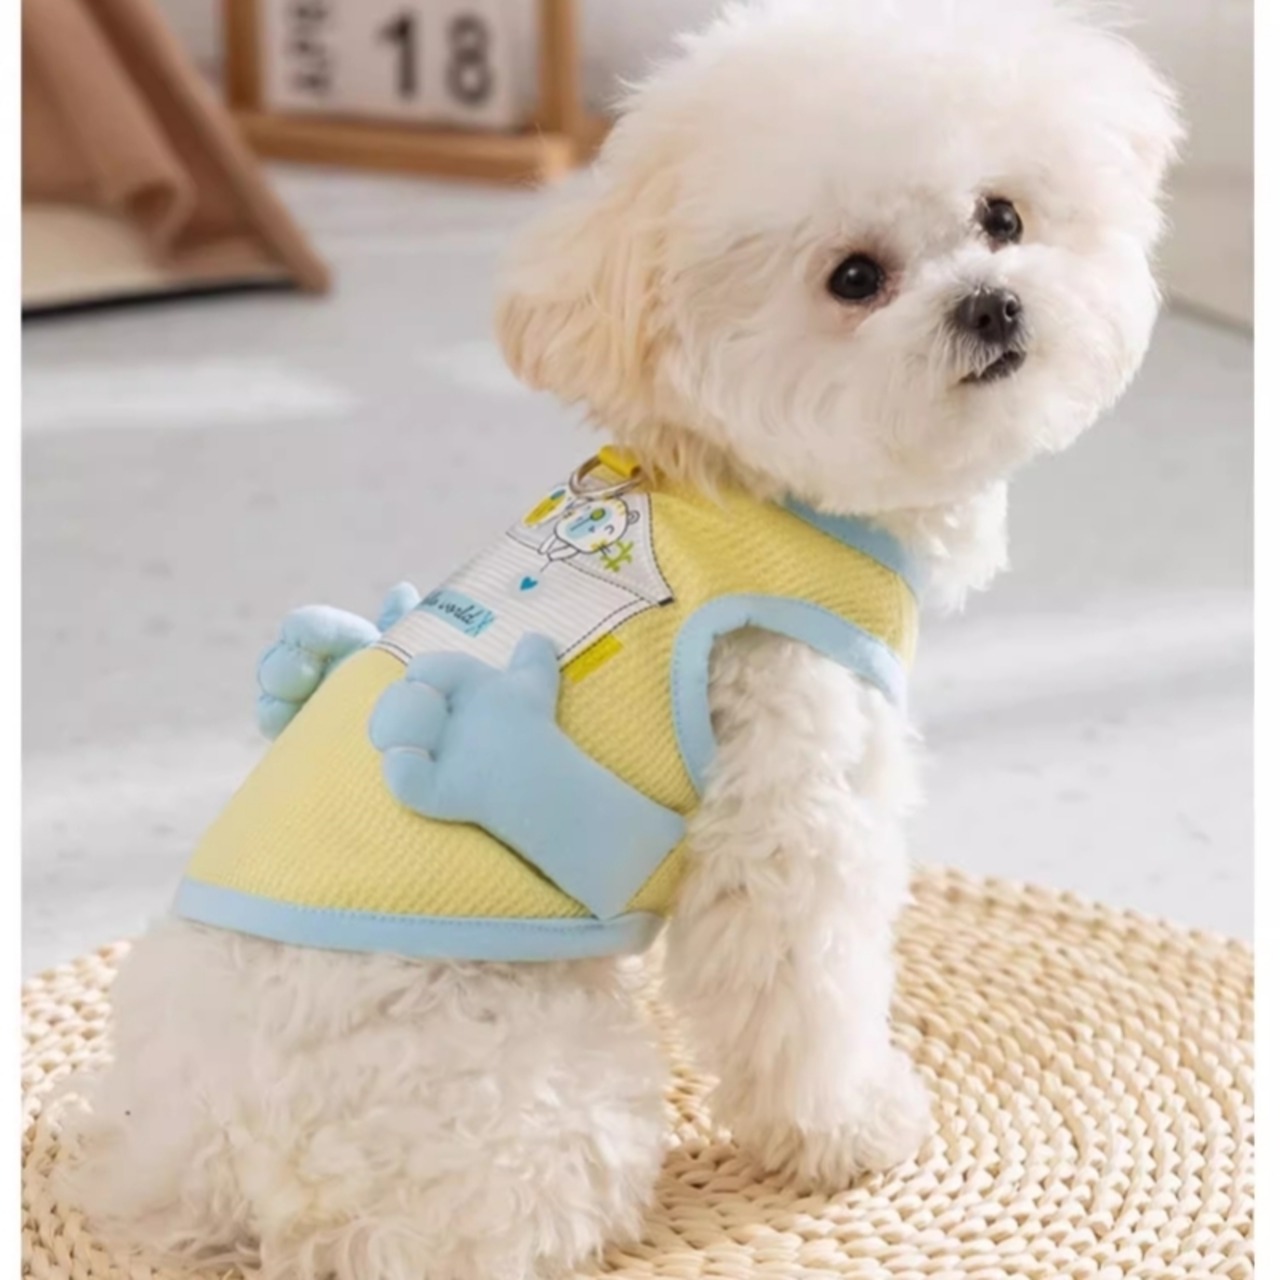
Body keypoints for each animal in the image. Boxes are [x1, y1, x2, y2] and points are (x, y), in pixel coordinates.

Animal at [59, 3, 1180, 1277]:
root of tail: (194, 1148)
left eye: (1001, 217)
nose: (989, 302)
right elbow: (806, 988)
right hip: (536, 1098)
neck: (759, 487)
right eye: (853, 278)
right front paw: (847, 1127)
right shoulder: (787, 793)